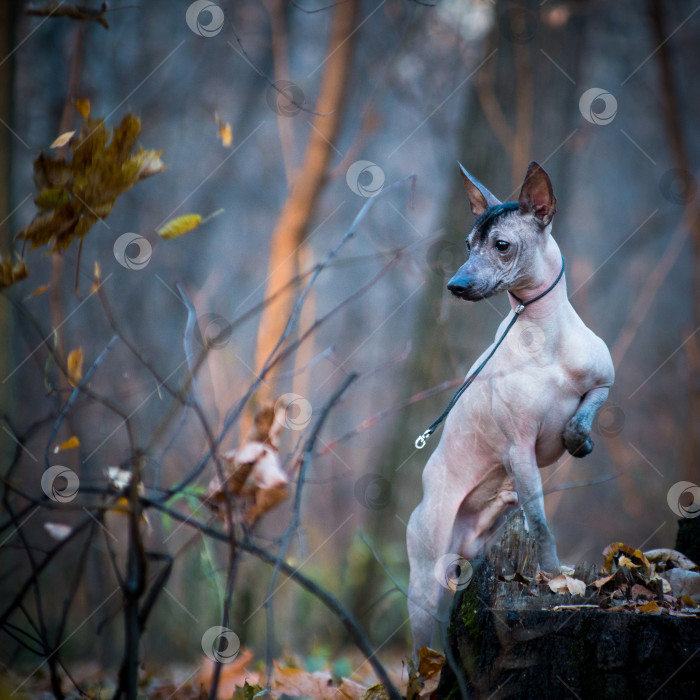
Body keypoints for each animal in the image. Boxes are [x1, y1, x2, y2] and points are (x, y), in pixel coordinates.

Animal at [408, 161, 616, 652]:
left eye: (501, 245)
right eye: (468, 245)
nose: (455, 285)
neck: (542, 333)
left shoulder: (605, 381)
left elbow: (582, 414)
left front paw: (579, 441)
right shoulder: (519, 449)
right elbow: (539, 522)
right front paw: (554, 576)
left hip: (472, 555)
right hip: (425, 581)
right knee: (418, 648)